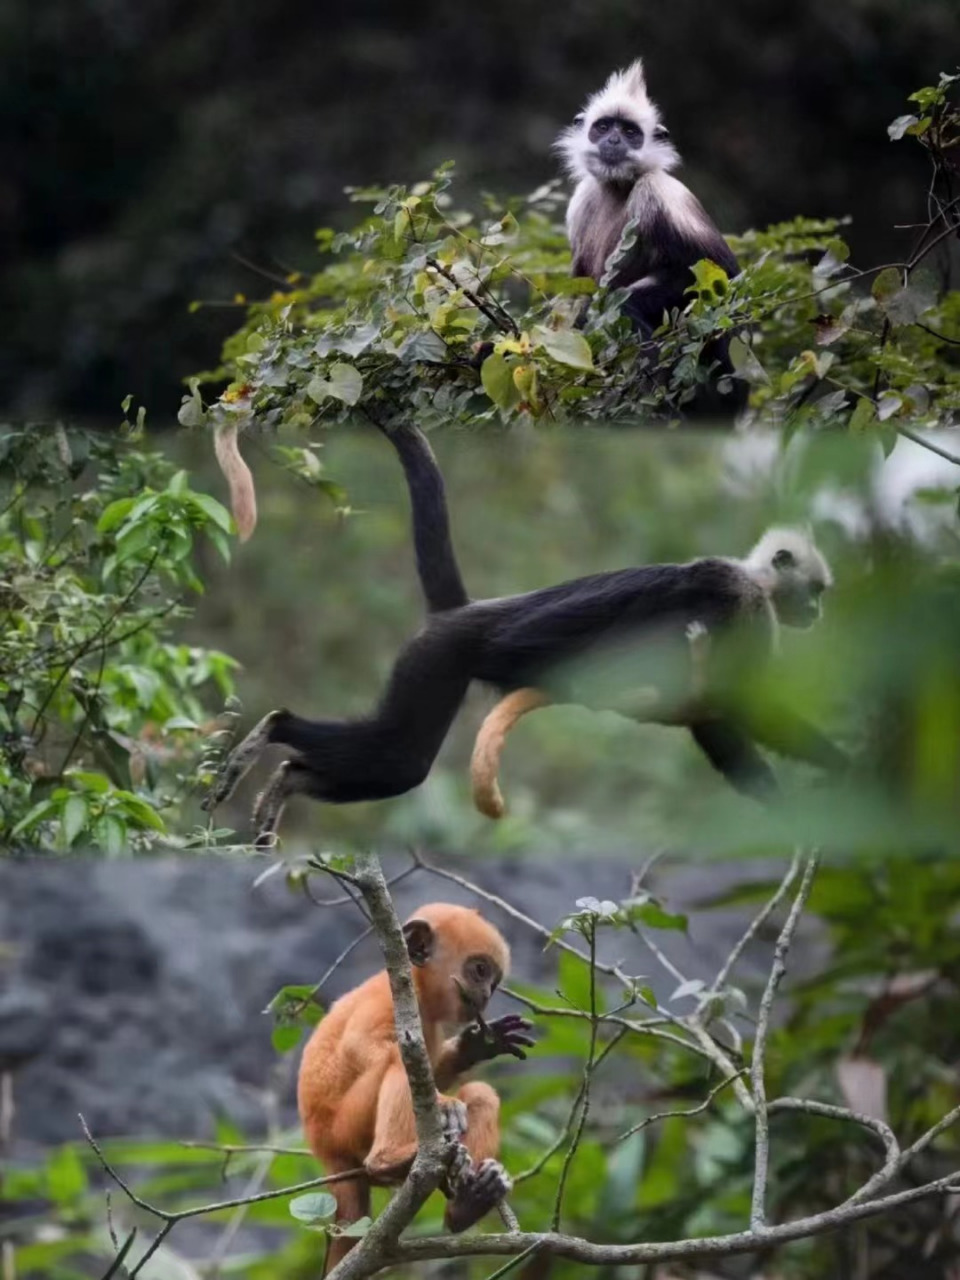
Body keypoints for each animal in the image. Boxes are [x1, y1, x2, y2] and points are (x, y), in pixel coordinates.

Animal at [299, 906, 535, 1274]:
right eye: (480, 971)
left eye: (493, 983)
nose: (485, 996)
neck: (416, 990)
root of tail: (324, 1149)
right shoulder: (385, 998)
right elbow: (364, 1047)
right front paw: (442, 1102)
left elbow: (434, 1074)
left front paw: (477, 1045)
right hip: (346, 1126)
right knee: (398, 1061)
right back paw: (390, 1160)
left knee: (479, 1092)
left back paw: (468, 1202)